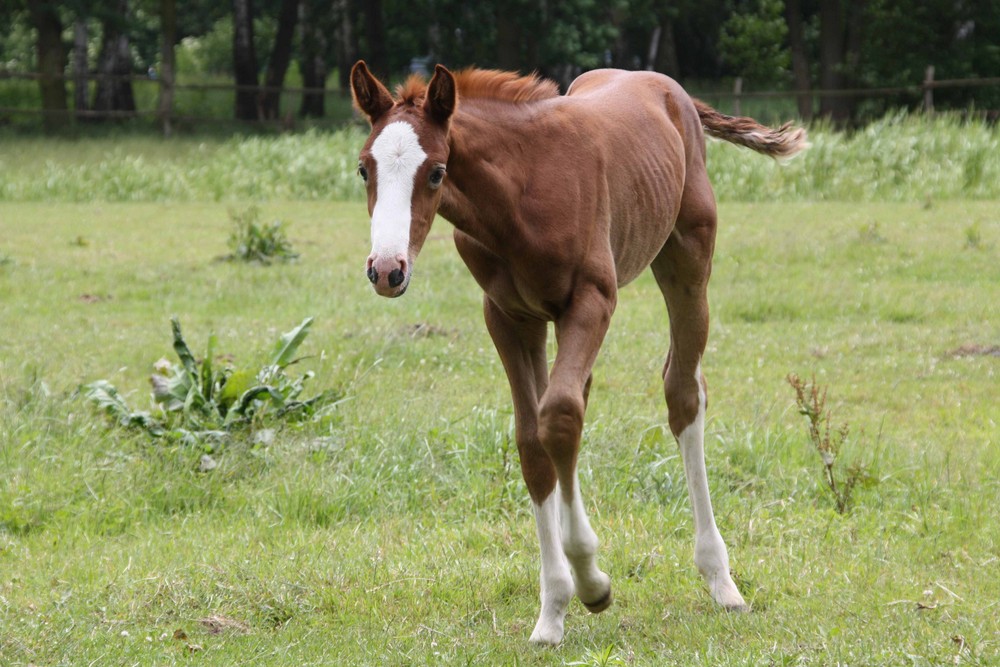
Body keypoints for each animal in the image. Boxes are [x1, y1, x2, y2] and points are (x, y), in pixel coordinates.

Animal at [350, 62, 804, 648]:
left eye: (436, 172)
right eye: (364, 169)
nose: (387, 269)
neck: (520, 196)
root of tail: (664, 85)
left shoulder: (591, 300)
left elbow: (560, 417)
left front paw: (592, 584)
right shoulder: (508, 317)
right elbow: (533, 440)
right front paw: (552, 611)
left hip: (688, 262)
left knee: (683, 394)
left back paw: (721, 580)